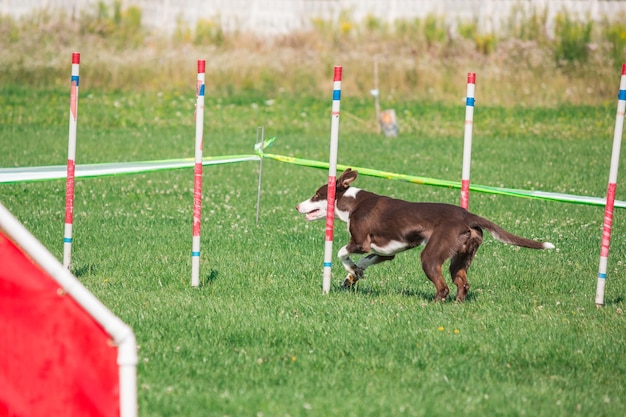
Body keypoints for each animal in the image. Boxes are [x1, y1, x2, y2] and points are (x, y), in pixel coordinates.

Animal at [294, 167, 552, 300]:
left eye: (316, 195)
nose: (297, 206)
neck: (352, 203)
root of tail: (468, 216)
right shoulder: (386, 251)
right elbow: (365, 262)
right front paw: (354, 274)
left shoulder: (360, 242)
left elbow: (341, 252)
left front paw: (350, 269)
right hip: (460, 258)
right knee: (462, 284)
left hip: (430, 256)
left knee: (443, 287)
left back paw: (433, 304)